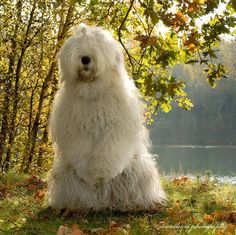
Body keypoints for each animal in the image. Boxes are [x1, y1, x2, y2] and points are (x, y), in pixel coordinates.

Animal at [48, 23, 166, 211]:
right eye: (78, 45)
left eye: (97, 45)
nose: (85, 59)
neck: (92, 90)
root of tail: (104, 201)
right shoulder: (75, 127)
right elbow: (81, 148)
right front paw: (88, 172)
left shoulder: (116, 125)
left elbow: (109, 149)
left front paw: (102, 172)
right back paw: (78, 205)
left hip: (136, 170)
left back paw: (133, 204)